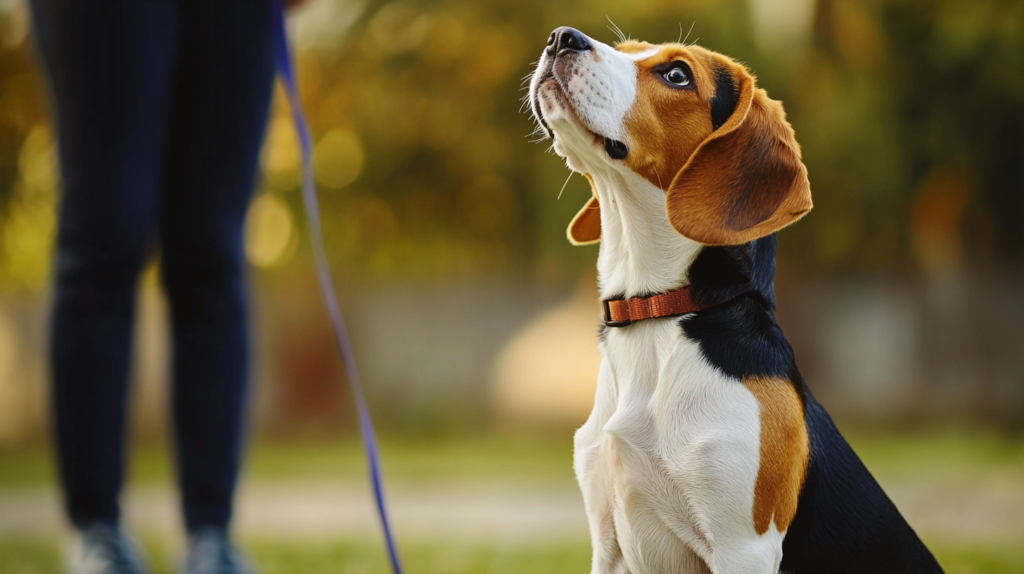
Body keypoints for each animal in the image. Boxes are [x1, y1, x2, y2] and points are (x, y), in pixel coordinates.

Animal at [528, 28, 942, 572]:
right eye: (627, 48)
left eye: (677, 74)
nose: (561, 37)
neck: (661, 313)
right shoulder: (608, 542)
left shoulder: (743, 545)